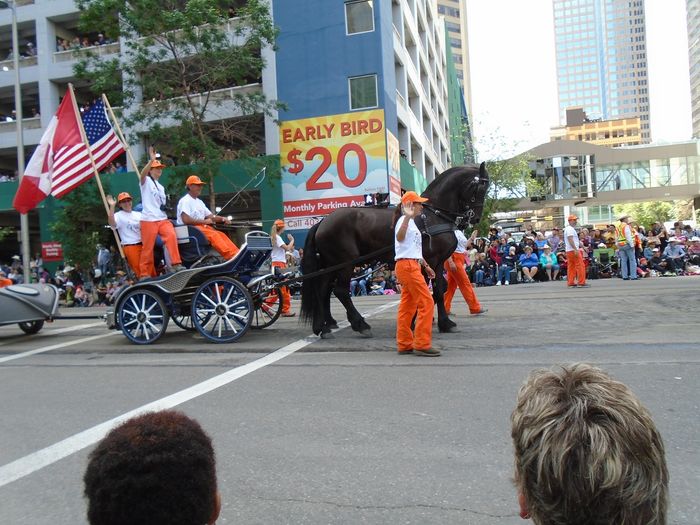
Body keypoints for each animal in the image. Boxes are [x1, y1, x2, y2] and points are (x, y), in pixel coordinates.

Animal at [300, 162, 486, 338]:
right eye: (479, 188)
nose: (475, 218)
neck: (434, 214)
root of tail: (323, 222)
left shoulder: (438, 263)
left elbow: (439, 290)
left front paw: (444, 323)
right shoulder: (430, 260)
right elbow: (426, 291)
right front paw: (416, 321)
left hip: (331, 264)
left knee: (323, 290)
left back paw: (324, 326)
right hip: (345, 262)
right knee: (340, 291)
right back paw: (360, 325)